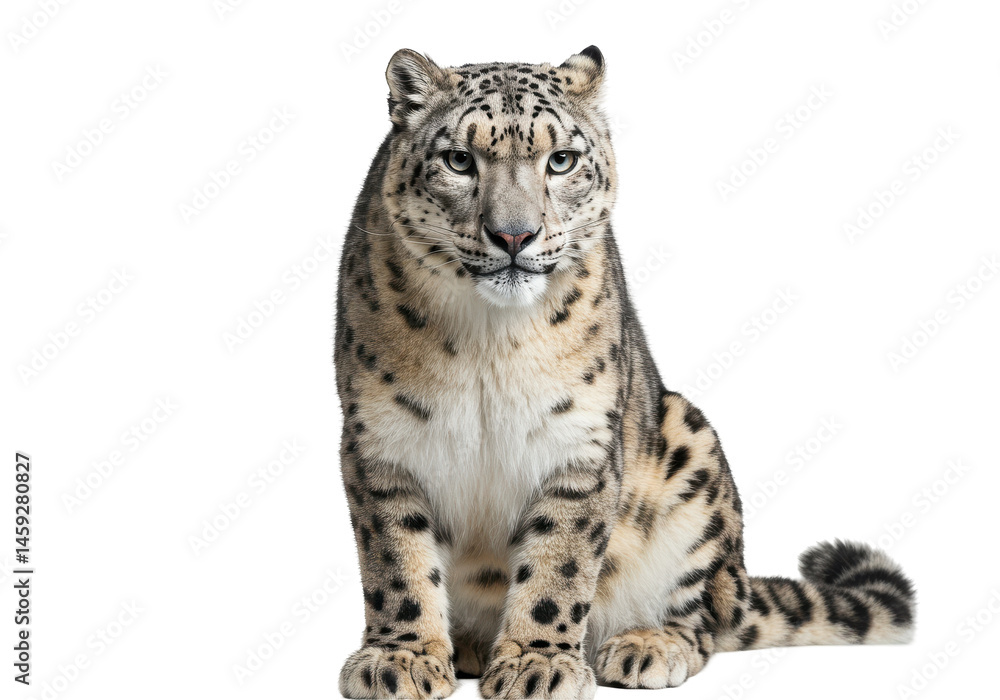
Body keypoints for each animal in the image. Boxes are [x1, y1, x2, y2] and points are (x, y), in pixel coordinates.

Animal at [334, 46, 915, 699]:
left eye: (561, 160)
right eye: (459, 160)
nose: (514, 235)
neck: (489, 339)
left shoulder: (578, 441)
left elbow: (558, 564)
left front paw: (537, 662)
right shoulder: (380, 442)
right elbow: (396, 561)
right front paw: (402, 657)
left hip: (693, 453)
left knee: (704, 622)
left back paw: (645, 645)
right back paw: (471, 647)